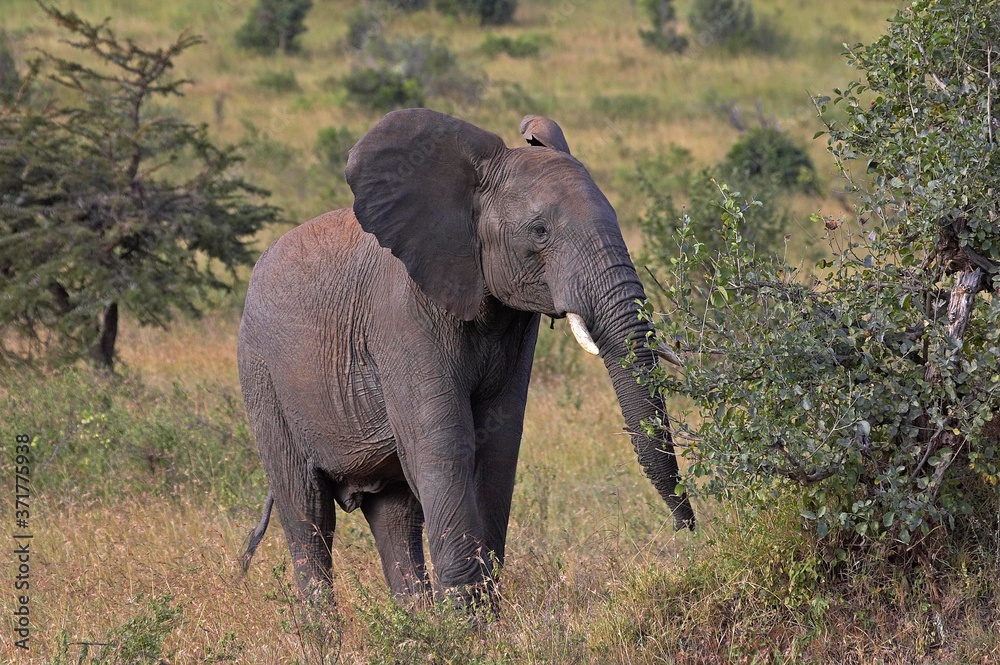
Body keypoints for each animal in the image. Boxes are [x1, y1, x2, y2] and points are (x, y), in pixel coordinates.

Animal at [237, 109, 694, 603]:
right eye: (540, 232)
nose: (686, 528)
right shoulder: (402, 316)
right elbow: (443, 445)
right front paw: (467, 618)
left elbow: (498, 445)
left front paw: (481, 616)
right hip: (261, 377)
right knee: (307, 513)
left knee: (394, 515)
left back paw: (416, 623)